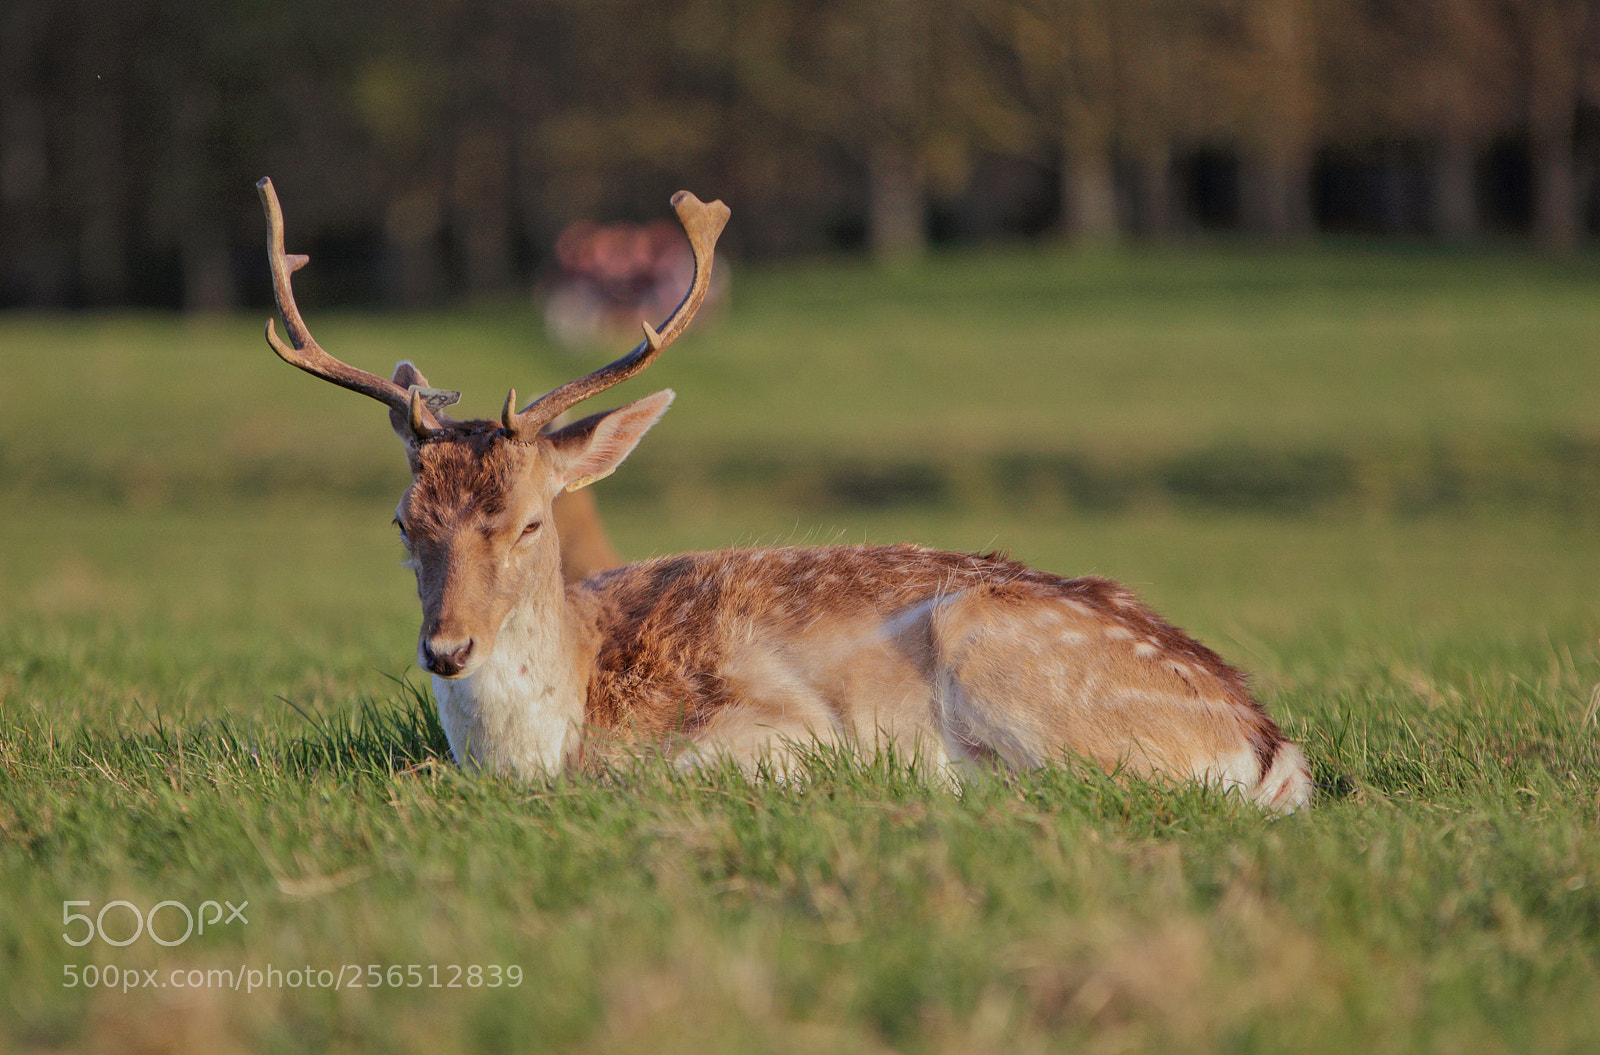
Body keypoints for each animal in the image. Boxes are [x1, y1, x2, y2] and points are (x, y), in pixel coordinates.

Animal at [255, 177, 1312, 813]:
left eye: (528, 521)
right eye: (404, 523)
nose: (447, 649)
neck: (557, 721)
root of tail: (1265, 741)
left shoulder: (767, 728)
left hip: (994, 640)